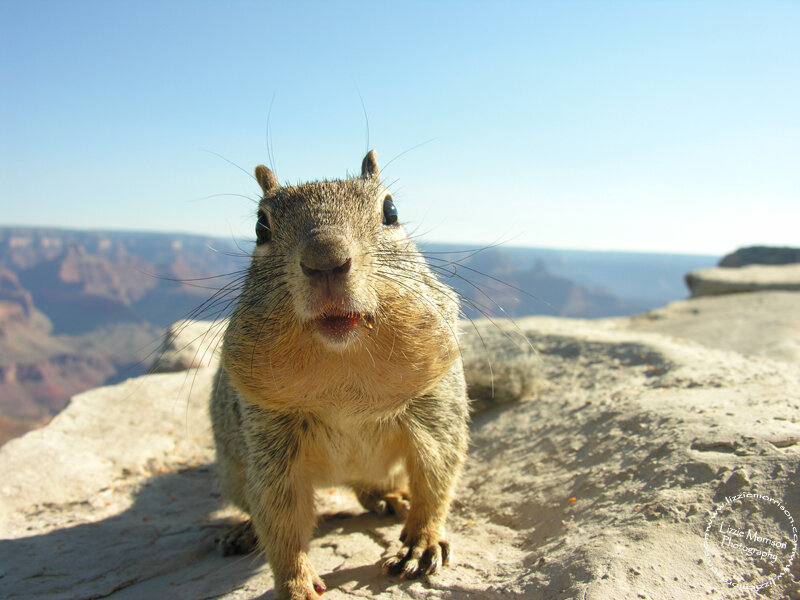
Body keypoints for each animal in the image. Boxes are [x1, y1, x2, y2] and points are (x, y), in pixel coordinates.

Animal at [210, 150, 533, 600]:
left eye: (391, 211)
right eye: (261, 226)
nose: (325, 260)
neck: (344, 368)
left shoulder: (434, 405)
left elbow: (436, 477)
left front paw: (421, 542)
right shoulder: (270, 431)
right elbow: (280, 514)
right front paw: (294, 583)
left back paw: (391, 498)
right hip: (232, 470)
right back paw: (244, 531)